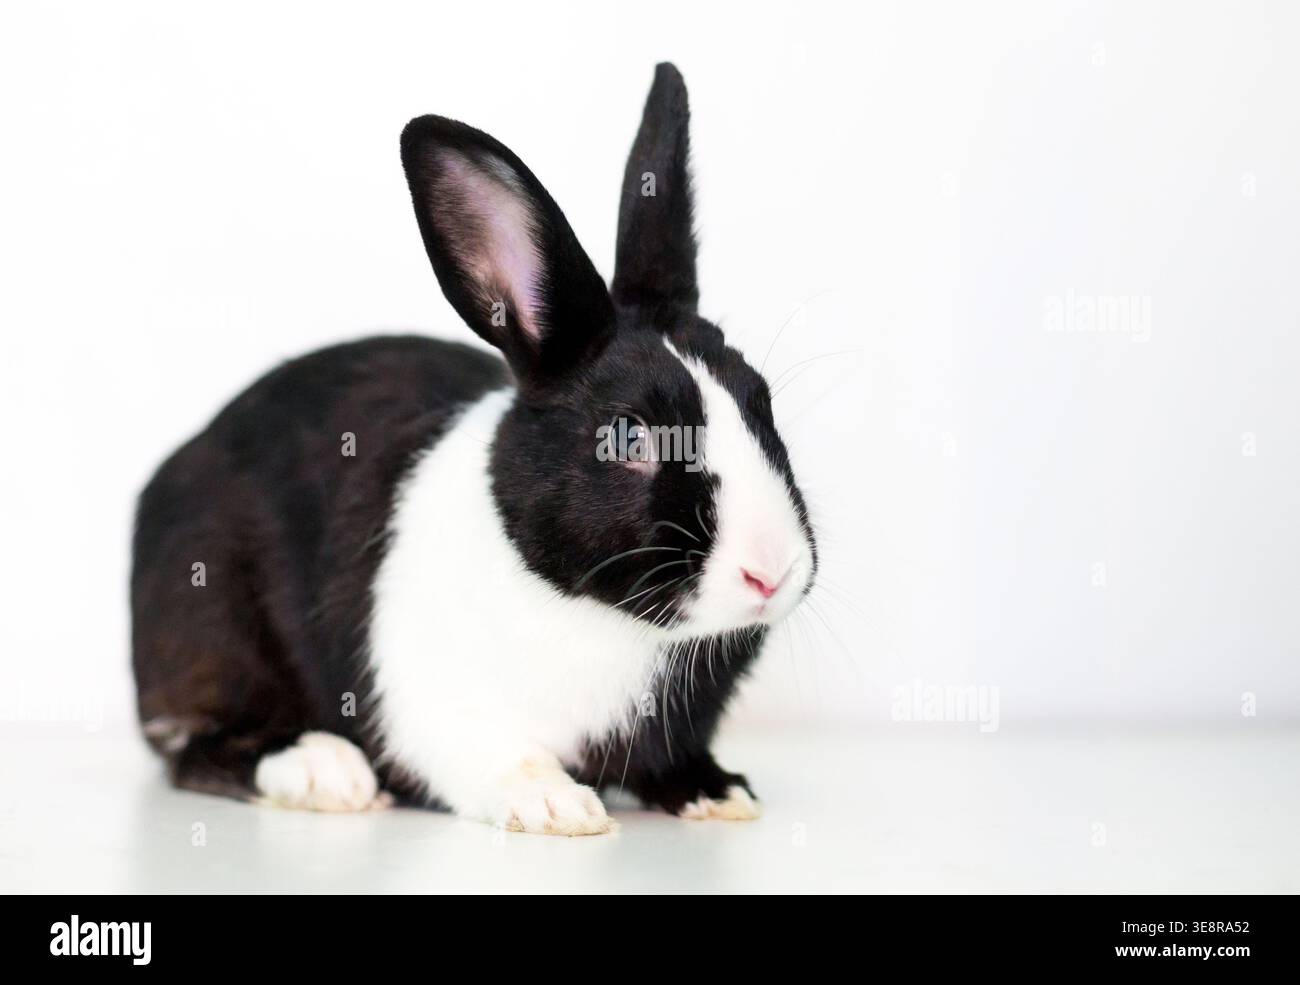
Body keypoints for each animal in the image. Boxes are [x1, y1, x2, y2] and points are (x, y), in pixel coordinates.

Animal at [131, 63, 817, 835]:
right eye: (627, 435)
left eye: (761, 399)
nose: (773, 572)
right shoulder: (431, 707)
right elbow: (500, 757)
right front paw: (556, 805)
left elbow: (672, 761)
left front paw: (721, 793)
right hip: (212, 638)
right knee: (202, 747)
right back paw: (327, 772)